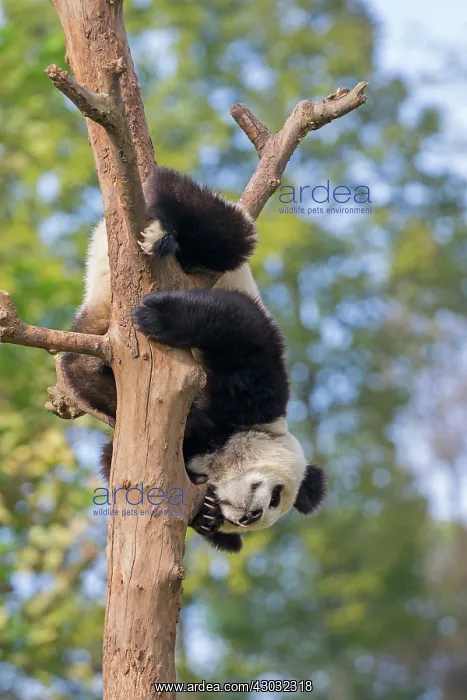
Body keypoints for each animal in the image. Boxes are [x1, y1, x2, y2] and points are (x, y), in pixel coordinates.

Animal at [62, 166, 327, 553]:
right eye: (276, 494)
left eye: (266, 512)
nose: (250, 516)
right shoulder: (259, 394)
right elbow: (240, 325)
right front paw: (159, 317)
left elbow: (111, 458)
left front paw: (205, 514)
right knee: (218, 227)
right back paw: (161, 231)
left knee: (79, 369)